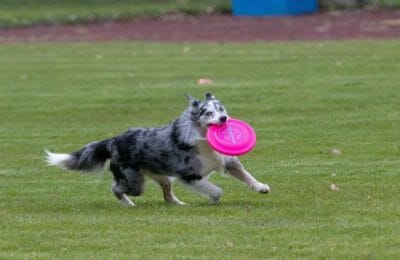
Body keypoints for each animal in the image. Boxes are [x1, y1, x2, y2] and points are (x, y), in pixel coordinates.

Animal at [47, 92, 270, 206]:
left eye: (221, 109)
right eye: (208, 113)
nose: (224, 119)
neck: (201, 137)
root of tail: (113, 140)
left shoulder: (227, 161)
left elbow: (246, 175)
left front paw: (261, 187)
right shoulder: (189, 175)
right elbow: (216, 189)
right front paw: (213, 199)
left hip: (162, 177)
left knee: (167, 193)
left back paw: (178, 204)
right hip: (135, 183)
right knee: (116, 188)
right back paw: (128, 204)